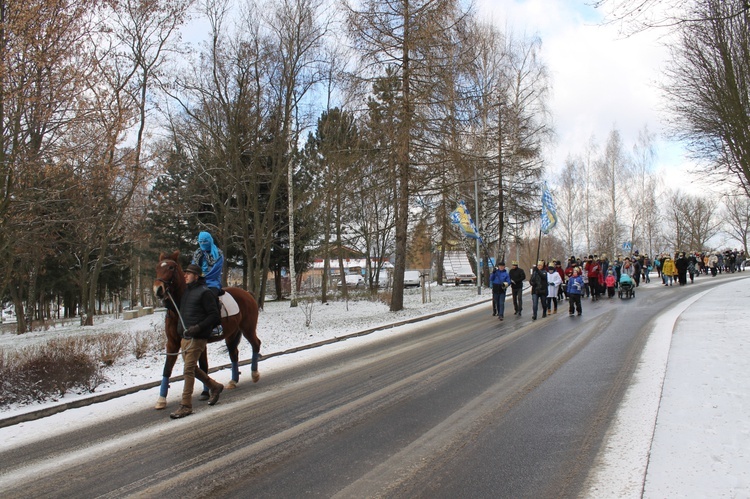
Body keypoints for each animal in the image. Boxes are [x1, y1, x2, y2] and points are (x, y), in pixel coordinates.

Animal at [151, 250, 262, 410]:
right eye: (157, 267)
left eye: (171, 267)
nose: (158, 289)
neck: (179, 308)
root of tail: (247, 293)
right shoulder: (172, 343)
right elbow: (168, 368)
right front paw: (161, 399)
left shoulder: (199, 340)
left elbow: (203, 366)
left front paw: (206, 392)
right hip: (231, 334)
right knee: (234, 353)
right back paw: (233, 380)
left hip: (248, 328)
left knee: (256, 344)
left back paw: (255, 374)